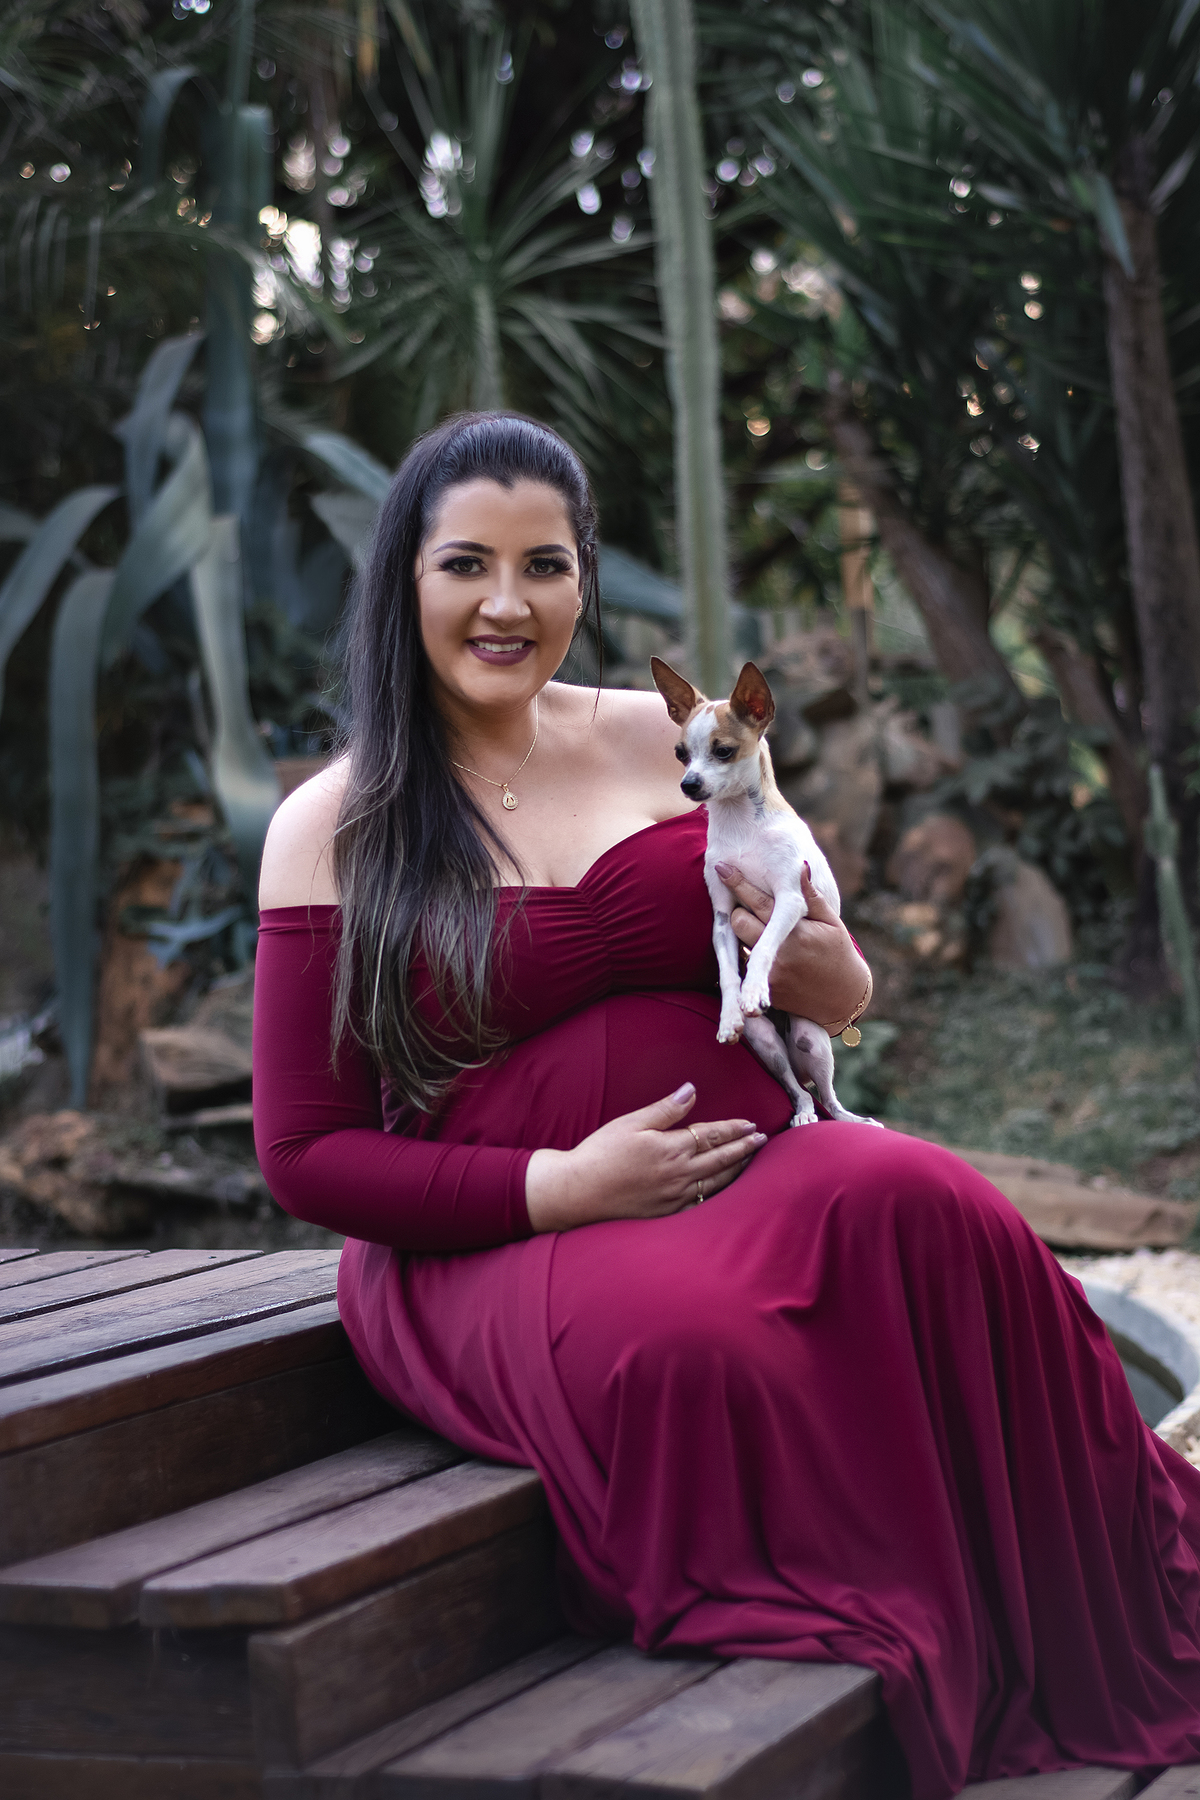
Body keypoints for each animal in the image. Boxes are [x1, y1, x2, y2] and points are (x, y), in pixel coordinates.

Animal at [651, 656, 881, 1129]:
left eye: (723, 751)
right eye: (681, 754)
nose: (688, 784)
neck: (740, 824)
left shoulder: (791, 899)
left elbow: (762, 947)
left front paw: (754, 987)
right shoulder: (722, 919)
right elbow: (727, 971)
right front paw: (730, 1013)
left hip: (813, 1041)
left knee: (829, 1098)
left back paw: (852, 1119)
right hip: (768, 1044)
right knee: (799, 1091)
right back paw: (802, 1113)